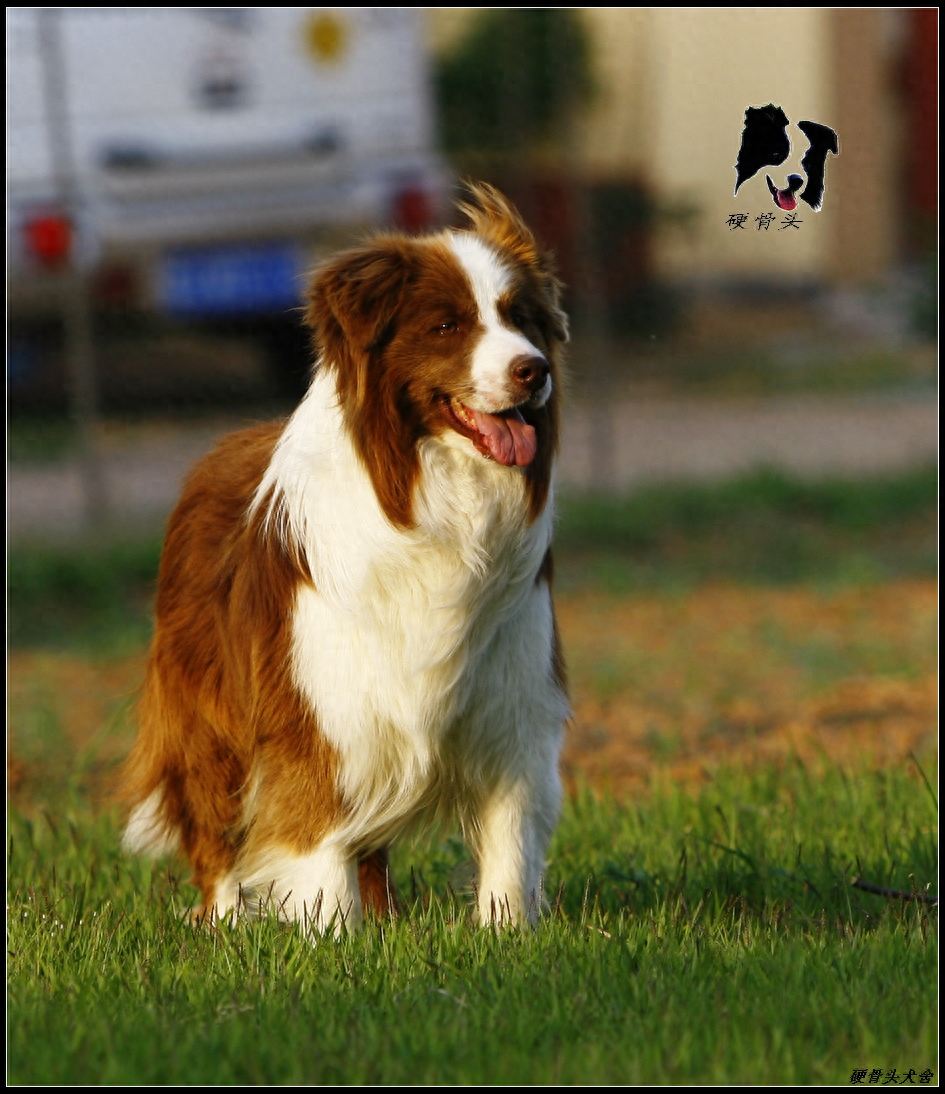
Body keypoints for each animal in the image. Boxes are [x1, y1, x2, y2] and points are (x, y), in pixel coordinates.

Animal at [122, 181, 573, 932]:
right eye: (446, 326)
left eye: (521, 319)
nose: (531, 370)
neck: (435, 489)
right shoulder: (318, 706)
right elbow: (316, 835)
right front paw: (329, 937)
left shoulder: (511, 701)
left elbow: (509, 834)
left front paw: (506, 931)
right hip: (207, 706)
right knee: (215, 822)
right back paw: (228, 923)